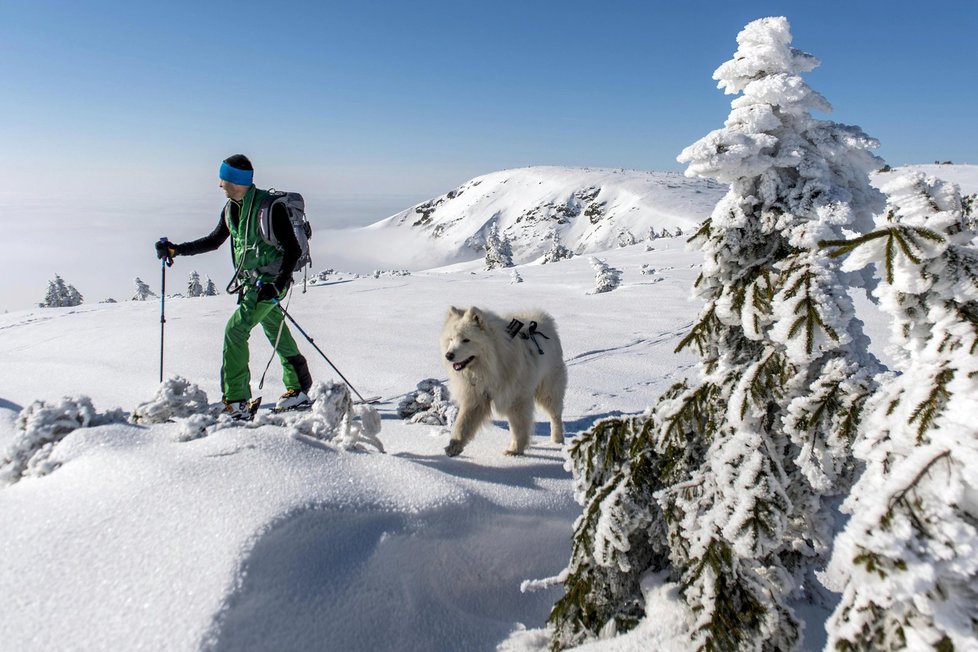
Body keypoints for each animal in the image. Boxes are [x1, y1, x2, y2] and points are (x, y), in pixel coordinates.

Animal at [436, 306, 564, 456]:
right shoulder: (476, 396)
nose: (448, 355)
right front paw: (454, 446)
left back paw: (557, 440)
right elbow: (462, 423)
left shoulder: (516, 398)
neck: (491, 366)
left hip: (548, 389)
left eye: (466, 340)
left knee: (555, 415)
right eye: (451, 339)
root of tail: (543, 318)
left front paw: (514, 450)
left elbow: (518, 427)